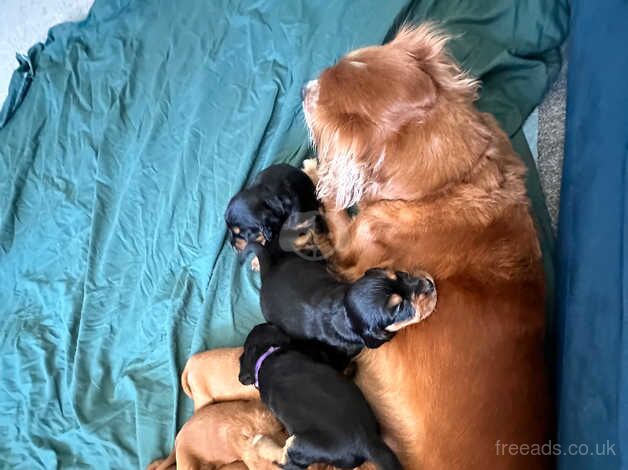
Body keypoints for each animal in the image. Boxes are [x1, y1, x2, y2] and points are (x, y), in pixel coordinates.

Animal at [302, 24, 552, 470]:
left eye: (315, 101)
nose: (303, 88)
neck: (448, 182)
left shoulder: (356, 247)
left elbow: (336, 211)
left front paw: (318, 172)